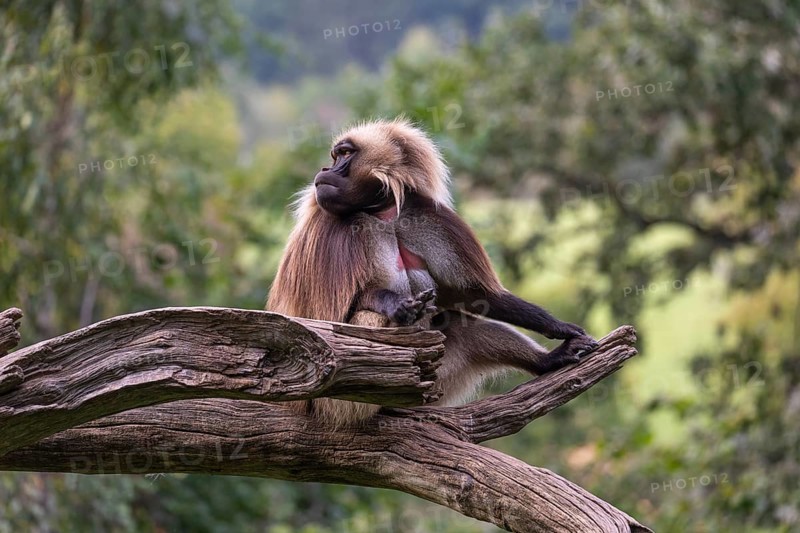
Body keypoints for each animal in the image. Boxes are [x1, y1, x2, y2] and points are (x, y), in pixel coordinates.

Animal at [267, 118, 598, 426]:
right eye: (336, 155)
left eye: (344, 154)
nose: (325, 169)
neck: (384, 214)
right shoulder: (330, 230)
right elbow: (331, 319)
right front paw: (397, 304)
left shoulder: (431, 218)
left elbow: (477, 297)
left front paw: (557, 327)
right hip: (336, 404)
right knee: (371, 321)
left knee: (464, 326)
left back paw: (548, 361)